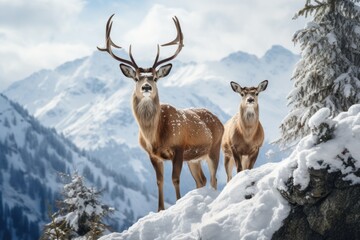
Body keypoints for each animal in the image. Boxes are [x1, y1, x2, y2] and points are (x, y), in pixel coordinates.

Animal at [97, 15, 224, 211]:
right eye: (136, 78)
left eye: (155, 77)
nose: (146, 87)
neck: (155, 137)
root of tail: (220, 121)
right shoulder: (153, 155)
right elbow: (159, 181)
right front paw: (160, 210)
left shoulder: (178, 148)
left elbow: (175, 179)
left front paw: (177, 203)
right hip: (193, 158)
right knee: (201, 180)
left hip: (214, 148)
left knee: (213, 178)